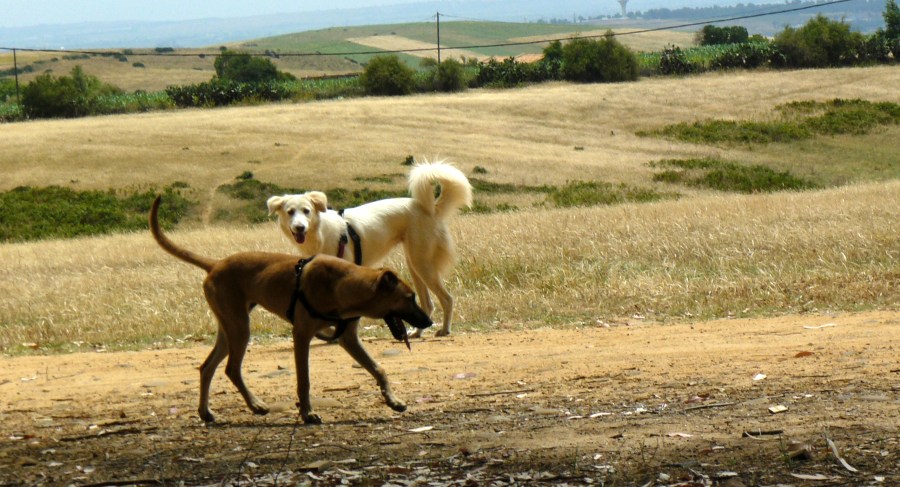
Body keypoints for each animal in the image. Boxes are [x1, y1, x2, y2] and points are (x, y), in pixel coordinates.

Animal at [150, 196, 432, 424]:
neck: (343, 285)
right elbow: (303, 380)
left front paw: (393, 400)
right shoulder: (302, 335)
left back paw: (206, 412)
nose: (428, 322)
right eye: (409, 297)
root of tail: (216, 264)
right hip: (239, 327)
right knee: (231, 369)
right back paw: (256, 405)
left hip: (228, 327)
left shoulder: (347, 337)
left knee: (207, 367)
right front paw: (307, 413)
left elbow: (378, 368)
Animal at [266, 160, 472, 338]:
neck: (320, 233)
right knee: (428, 304)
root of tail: (431, 208)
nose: (299, 227)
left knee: (447, 299)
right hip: (414, 265)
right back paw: (417, 332)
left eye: (306, 211)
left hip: (422, 264)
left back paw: (444, 329)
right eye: (290, 212)